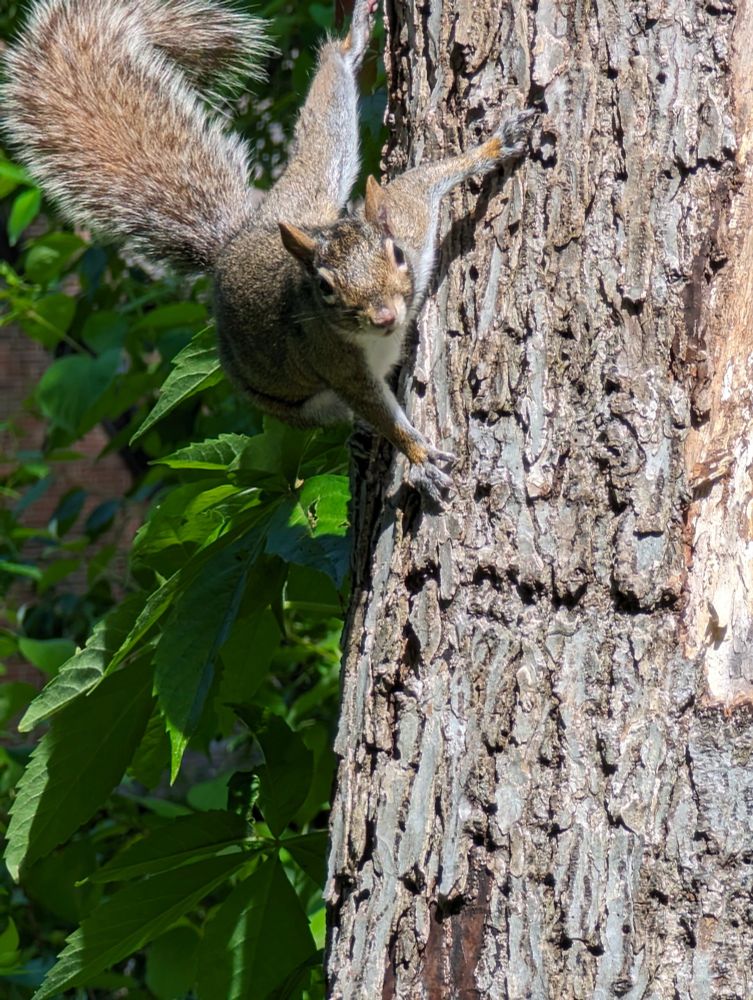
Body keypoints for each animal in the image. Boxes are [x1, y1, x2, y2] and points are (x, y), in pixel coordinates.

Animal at [2, 0, 534, 504]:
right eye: (324, 288)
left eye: (398, 256)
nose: (384, 316)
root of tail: (232, 247)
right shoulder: (337, 364)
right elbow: (379, 413)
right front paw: (420, 458)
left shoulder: (410, 219)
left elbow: (424, 179)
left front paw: (497, 145)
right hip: (291, 395)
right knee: (339, 414)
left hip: (310, 189)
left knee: (325, 127)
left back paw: (350, 42)